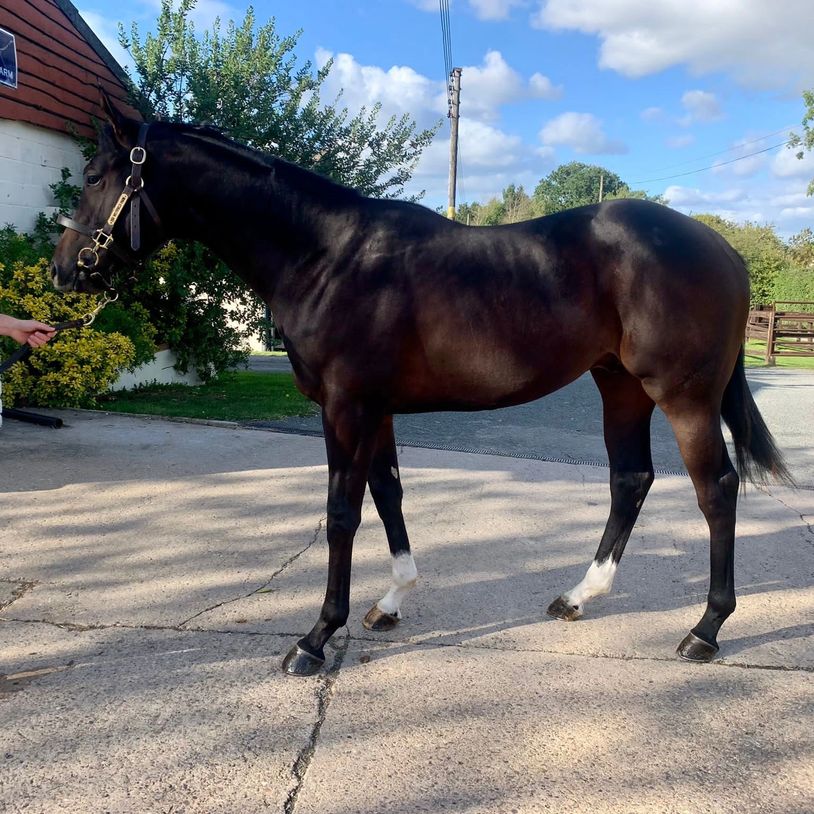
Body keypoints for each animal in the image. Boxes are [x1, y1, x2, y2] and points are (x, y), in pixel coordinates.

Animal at [52, 95, 791, 676]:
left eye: (95, 176)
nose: (65, 271)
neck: (325, 256)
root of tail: (722, 249)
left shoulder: (346, 408)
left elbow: (342, 514)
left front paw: (314, 638)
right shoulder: (375, 410)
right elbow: (388, 497)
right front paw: (390, 602)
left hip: (682, 395)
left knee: (715, 489)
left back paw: (704, 631)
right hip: (620, 386)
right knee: (630, 479)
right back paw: (580, 597)